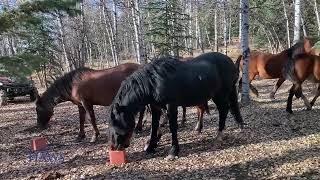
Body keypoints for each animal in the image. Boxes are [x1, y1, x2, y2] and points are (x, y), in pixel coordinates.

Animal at [106, 51, 244, 159]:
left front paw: (173, 151)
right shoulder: (155, 107)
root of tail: (230, 62)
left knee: (224, 110)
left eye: (116, 122)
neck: (153, 82)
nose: (115, 147)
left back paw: (219, 136)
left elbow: (172, 127)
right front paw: (150, 147)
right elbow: (154, 126)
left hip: (220, 95)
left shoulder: (171, 106)